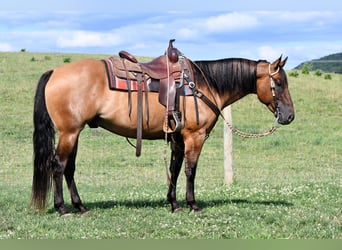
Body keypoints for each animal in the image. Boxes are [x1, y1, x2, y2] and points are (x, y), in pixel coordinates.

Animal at [32, 43, 294, 215]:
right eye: (279, 83)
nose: (289, 116)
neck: (203, 85)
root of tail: (55, 72)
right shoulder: (195, 136)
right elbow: (190, 170)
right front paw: (192, 204)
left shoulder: (178, 137)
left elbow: (175, 169)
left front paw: (174, 203)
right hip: (69, 132)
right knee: (58, 165)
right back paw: (62, 208)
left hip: (74, 132)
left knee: (69, 168)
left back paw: (80, 206)